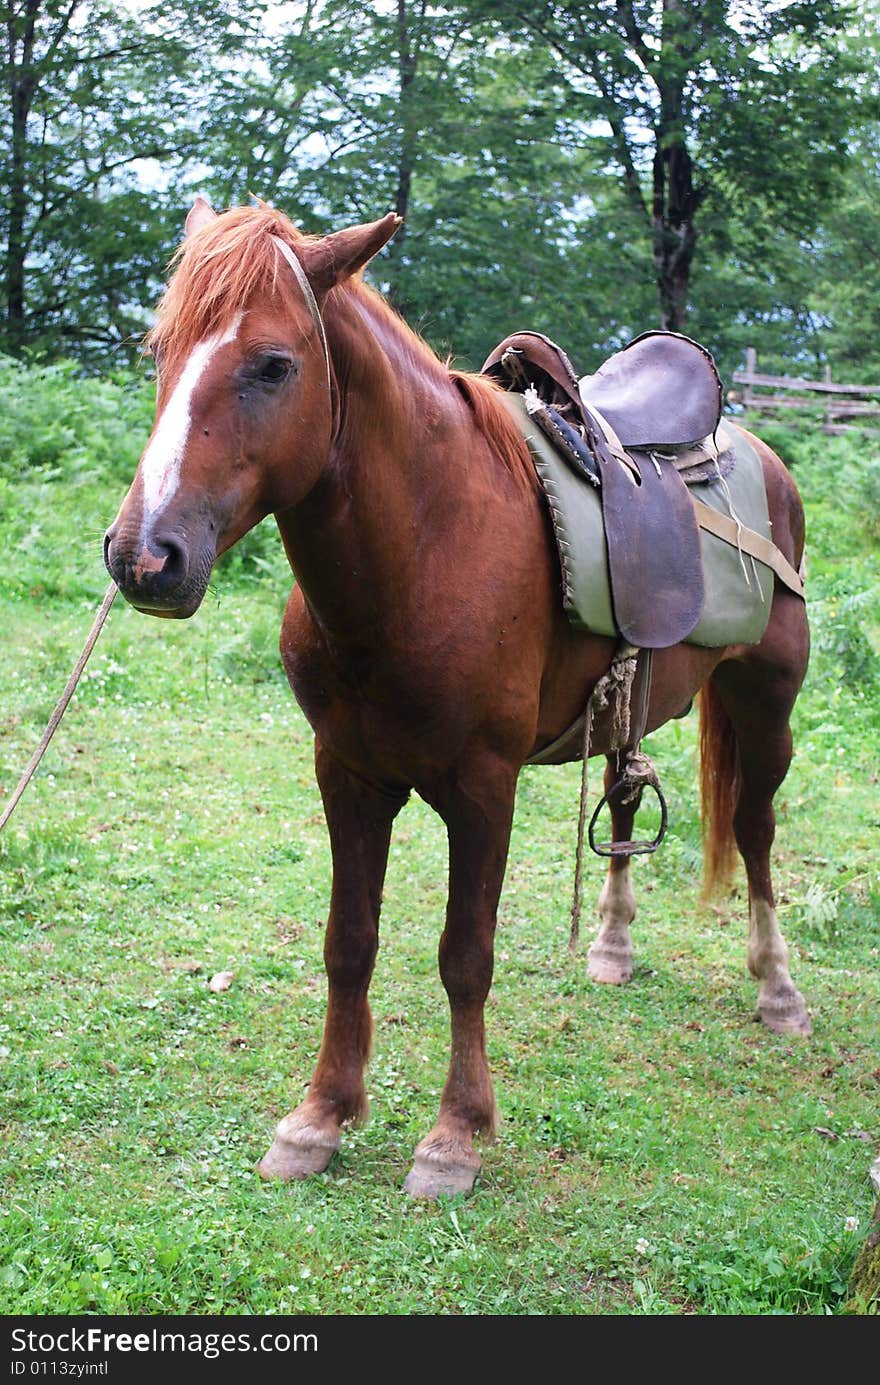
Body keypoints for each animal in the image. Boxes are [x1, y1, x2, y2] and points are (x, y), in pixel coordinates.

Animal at [103, 200, 814, 1196]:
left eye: (274, 364)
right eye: (159, 349)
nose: (145, 557)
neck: (425, 543)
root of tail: (756, 447)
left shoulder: (483, 788)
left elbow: (464, 956)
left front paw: (454, 1136)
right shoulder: (348, 775)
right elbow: (348, 939)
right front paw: (320, 1117)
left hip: (767, 698)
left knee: (753, 828)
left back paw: (778, 989)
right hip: (630, 705)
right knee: (625, 798)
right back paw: (612, 947)